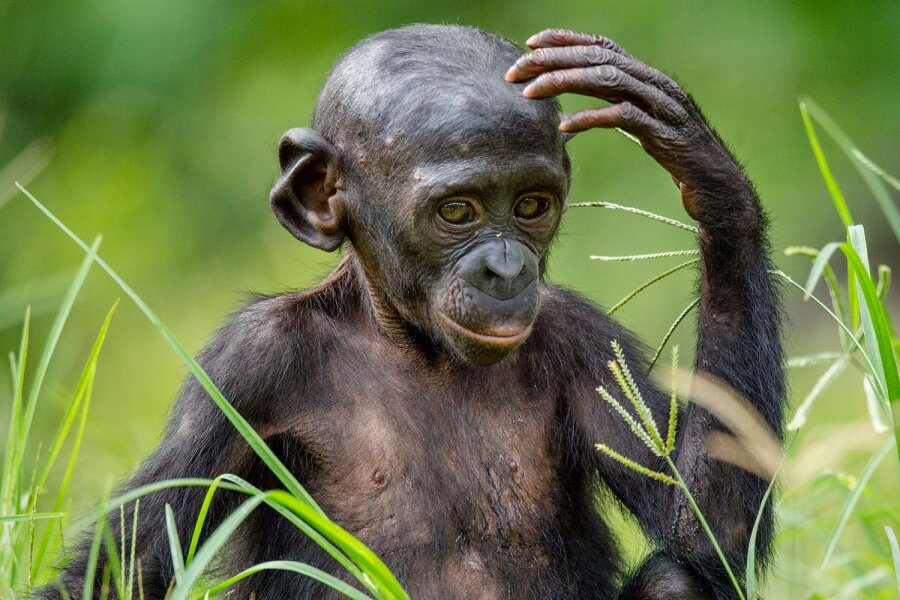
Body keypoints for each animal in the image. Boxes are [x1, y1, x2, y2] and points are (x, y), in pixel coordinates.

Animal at [39, 24, 783, 599]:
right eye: (458, 211)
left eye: (532, 205)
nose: (506, 269)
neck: (413, 343)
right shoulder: (244, 365)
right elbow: (127, 568)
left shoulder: (584, 340)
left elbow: (705, 531)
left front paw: (700, 163)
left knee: (677, 577)